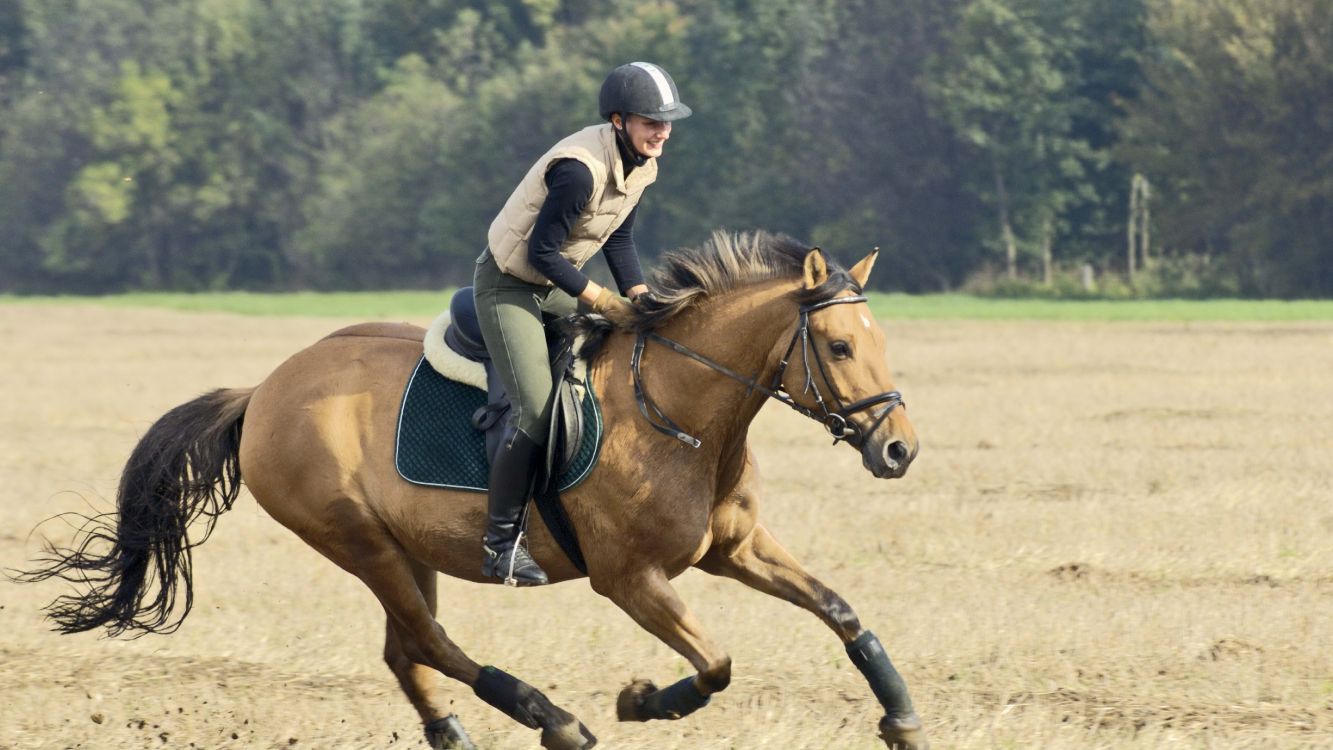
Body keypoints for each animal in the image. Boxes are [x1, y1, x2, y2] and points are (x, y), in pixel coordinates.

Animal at [18, 231, 927, 746]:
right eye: (839, 347)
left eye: (879, 339)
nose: (898, 449)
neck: (682, 411)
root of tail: (263, 392)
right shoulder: (629, 579)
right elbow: (716, 664)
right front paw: (639, 702)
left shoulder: (734, 548)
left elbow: (843, 613)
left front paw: (901, 718)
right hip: (359, 540)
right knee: (431, 644)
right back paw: (554, 720)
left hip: (402, 548)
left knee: (407, 652)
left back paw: (467, 731)